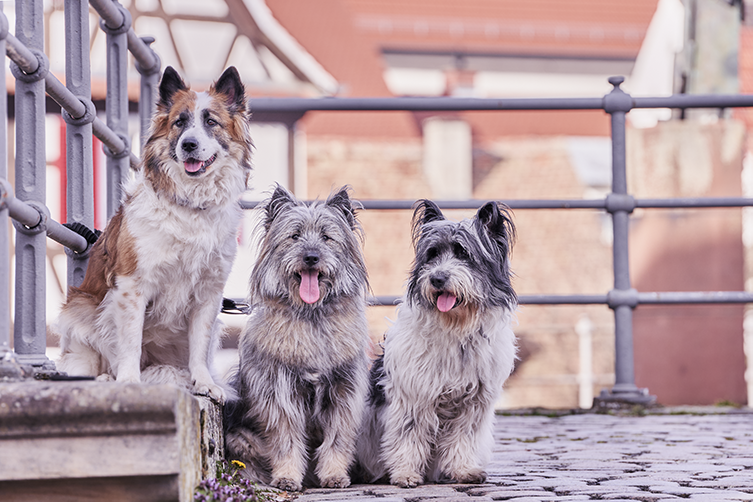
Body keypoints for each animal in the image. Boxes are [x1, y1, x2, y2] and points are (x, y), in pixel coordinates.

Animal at [54, 67, 253, 404]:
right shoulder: (132, 286)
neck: (189, 206)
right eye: (179, 122)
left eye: (211, 122)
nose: (188, 145)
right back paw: (106, 378)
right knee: (90, 359)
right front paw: (128, 381)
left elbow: (199, 346)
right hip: (81, 308)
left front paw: (203, 383)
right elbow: (130, 342)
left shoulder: (208, 295)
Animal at [223, 183, 370, 490]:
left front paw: (334, 475)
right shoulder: (280, 395)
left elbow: (337, 440)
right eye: (294, 236)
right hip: (240, 437)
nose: (311, 257)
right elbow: (286, 441)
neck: (311, 316)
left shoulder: (343, 393)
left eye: (327, 237)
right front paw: (287, 477)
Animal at [356, 199, 516, 486]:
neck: (455, 327)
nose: (437, 278)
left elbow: (463, 437)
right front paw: (405, 473)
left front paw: (463, 470)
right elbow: (408, 435)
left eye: (463, 254)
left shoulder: (473, 403)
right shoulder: (413, 396)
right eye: (432, 255)